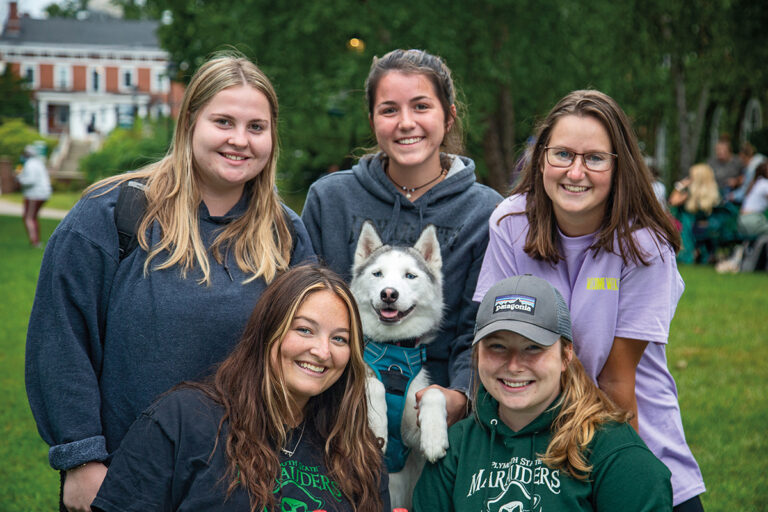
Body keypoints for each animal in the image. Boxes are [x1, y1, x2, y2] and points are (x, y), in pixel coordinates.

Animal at [352, 220, 452, 508]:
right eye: (377, 274)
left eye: (410, 276)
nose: (389, 293)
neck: (393, 354)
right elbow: (371, 384)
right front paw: (377, 425)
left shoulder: (410, 441)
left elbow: (433, 392)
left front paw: (435, 437)